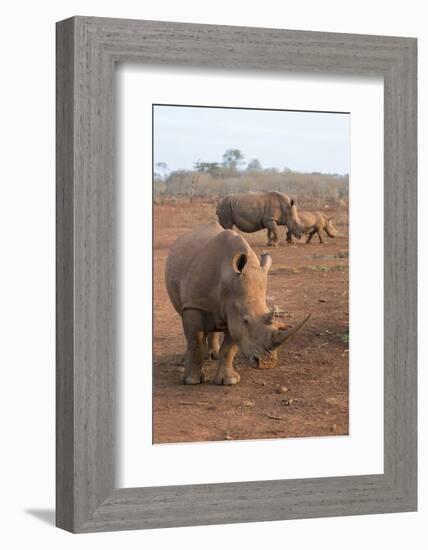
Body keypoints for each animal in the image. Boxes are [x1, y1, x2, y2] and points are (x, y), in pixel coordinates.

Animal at [166, 222, 310, 386]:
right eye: (246, 320)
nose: (267, 363)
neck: (228, 280)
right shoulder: (195, 305)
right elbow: (195, 341)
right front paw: (192, 381)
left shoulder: (234, 313)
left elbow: (229, 348)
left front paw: (229, 381)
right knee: (189, 330)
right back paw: (188, 360)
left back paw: (213, 355)